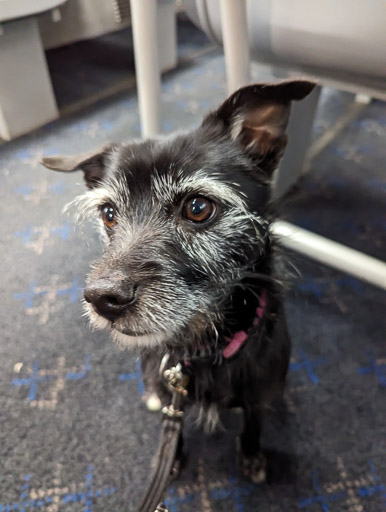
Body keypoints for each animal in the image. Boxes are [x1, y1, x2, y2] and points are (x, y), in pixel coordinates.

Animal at [42, 78, 316, 482]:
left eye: (198, 208)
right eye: (108, 213)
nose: (102, 298)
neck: (201, 346)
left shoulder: (259, 392)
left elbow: (254, 423)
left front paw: (252, 456)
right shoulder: (169, 383)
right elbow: (173, 424)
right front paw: (170, 459)